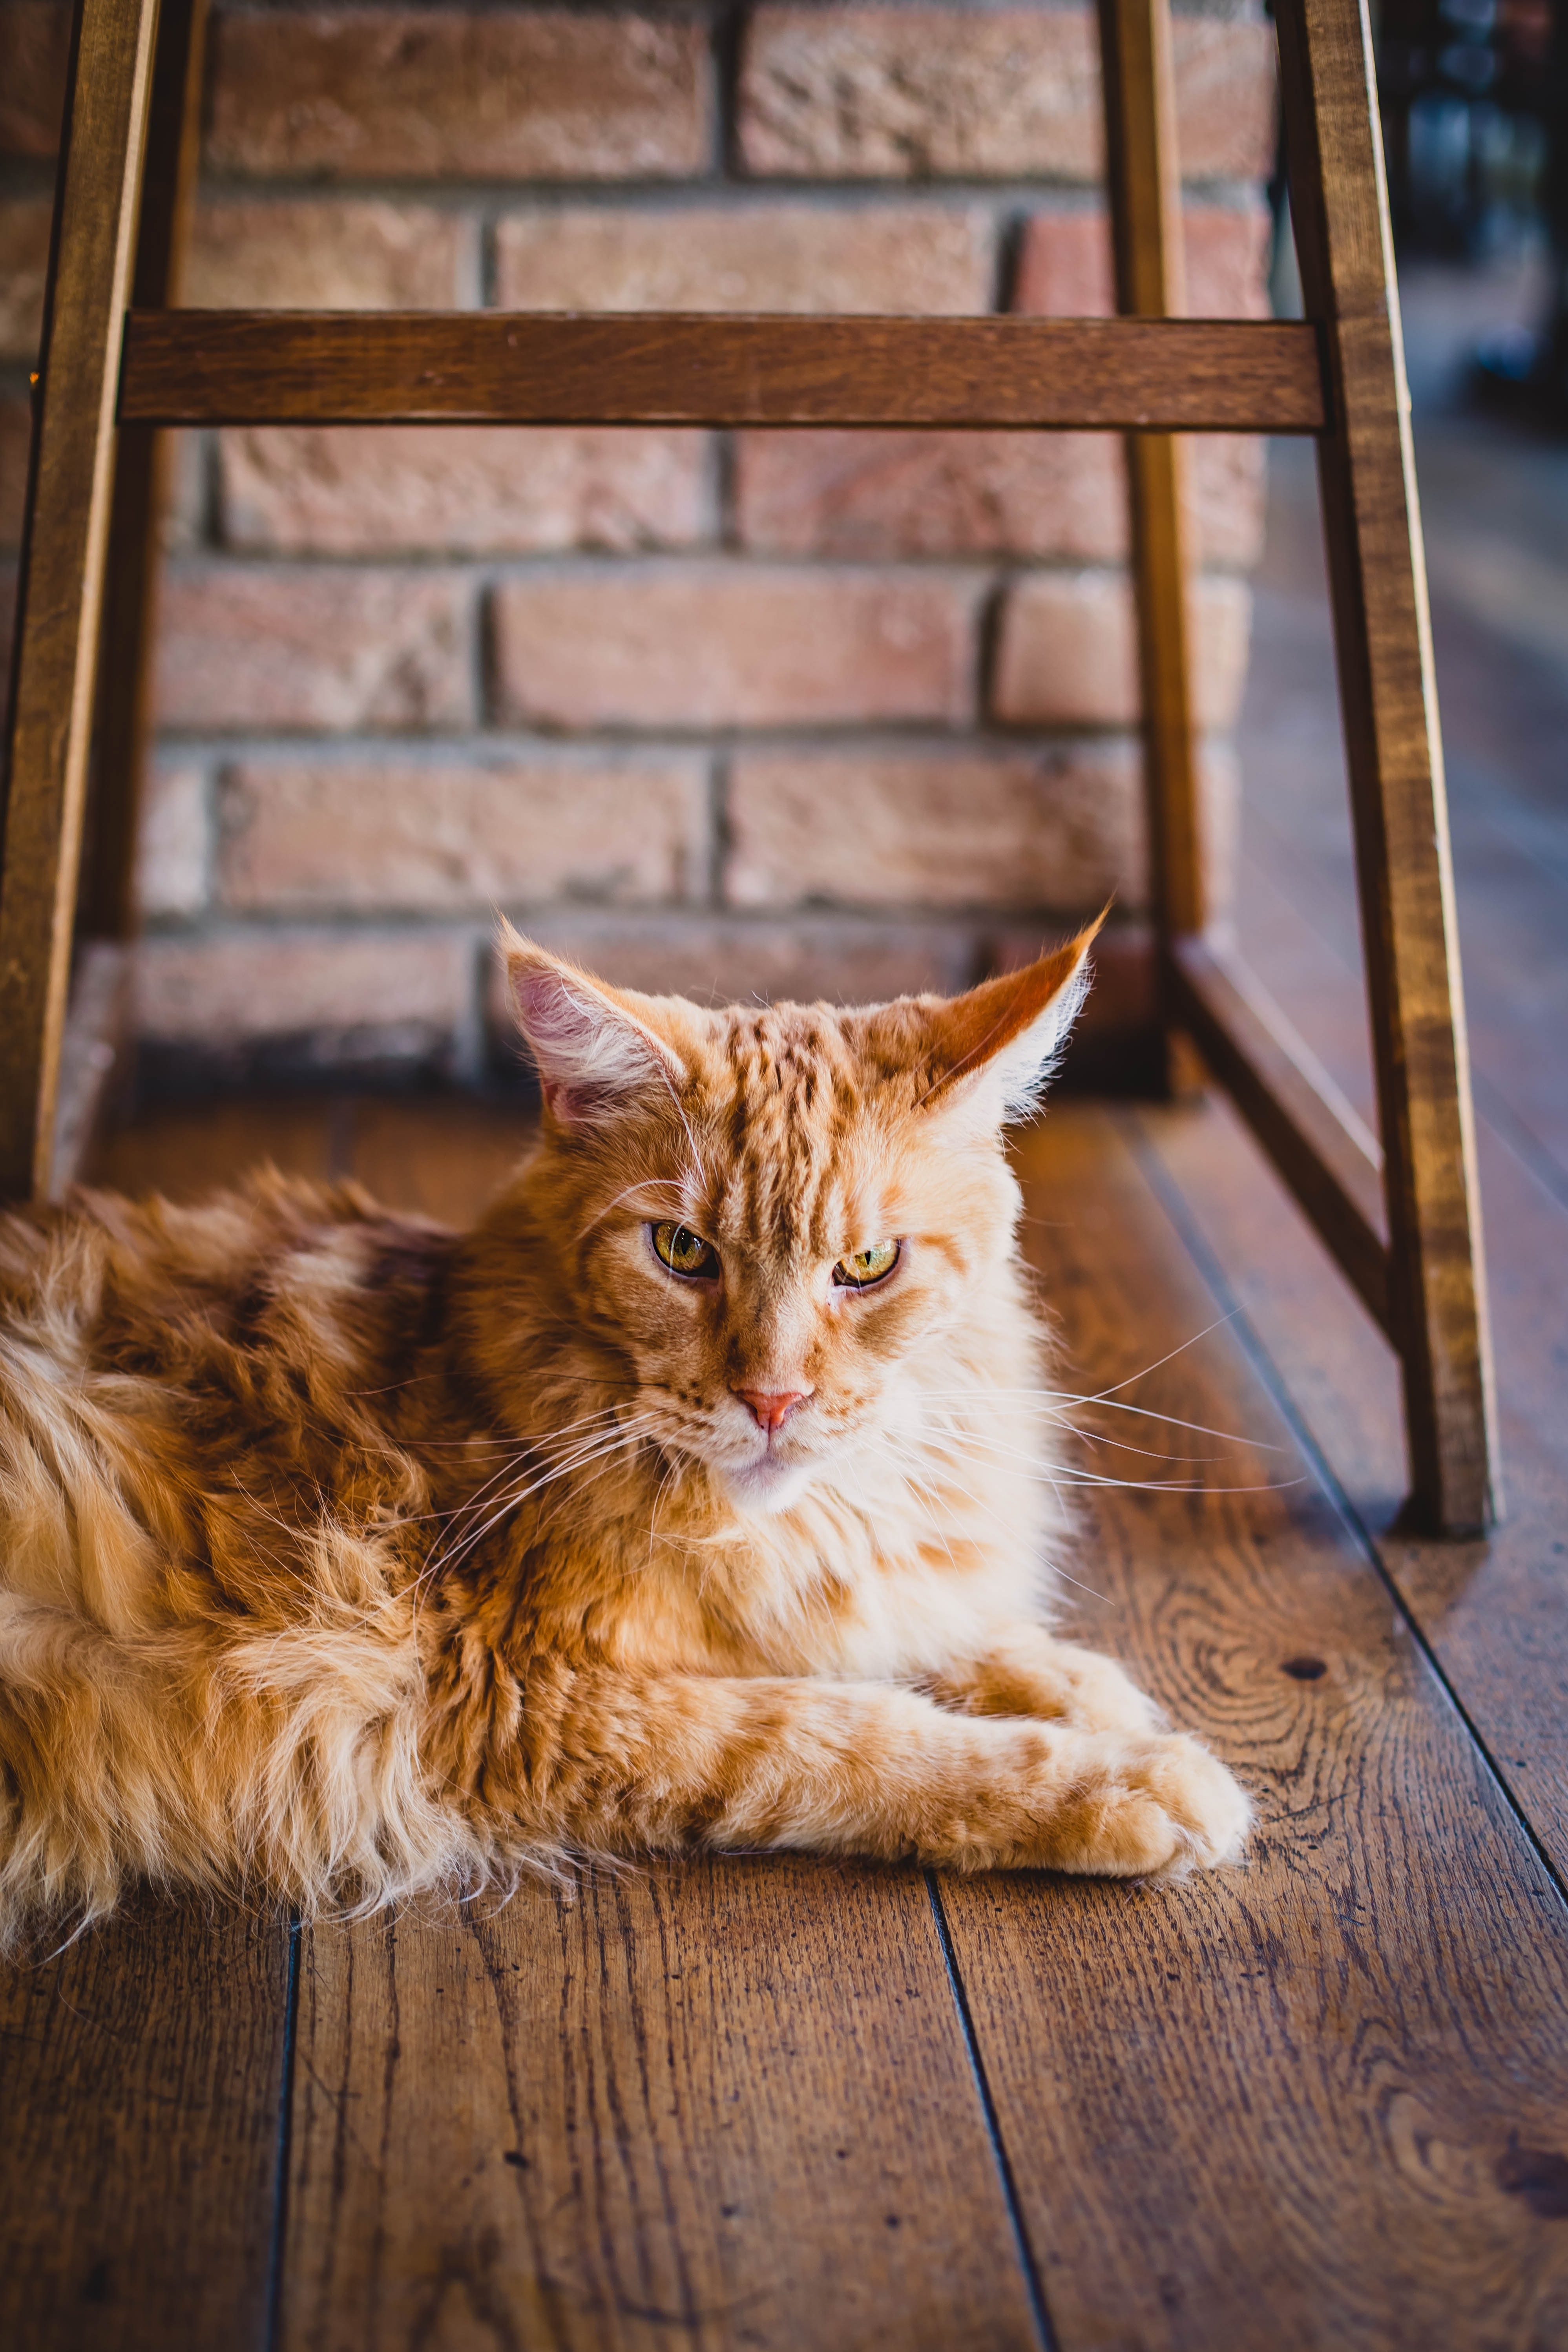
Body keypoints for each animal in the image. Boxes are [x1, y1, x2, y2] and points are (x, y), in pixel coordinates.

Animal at [0, 922, 1250, 1947]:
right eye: (683, 1252)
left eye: (864, 1265)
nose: (772, 1399)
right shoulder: (519, 1695)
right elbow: (845, 1732)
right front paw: (1119, 1781)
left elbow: (929, 1636)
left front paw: (1072, 1683)